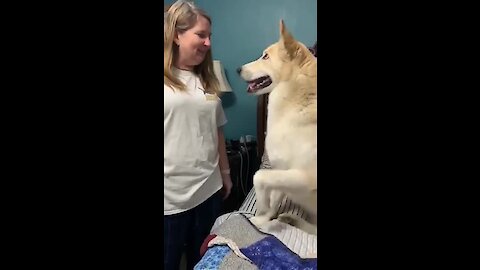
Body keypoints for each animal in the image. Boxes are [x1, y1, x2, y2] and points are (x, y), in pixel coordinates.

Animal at [237, 20, 318, 234]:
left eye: (265, 56)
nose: (238, 69)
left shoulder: (304, 177)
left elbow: (259, 177)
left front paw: (260, 213)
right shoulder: (281, 171)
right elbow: (274, 197)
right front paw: (263, 218)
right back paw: (291, 219)